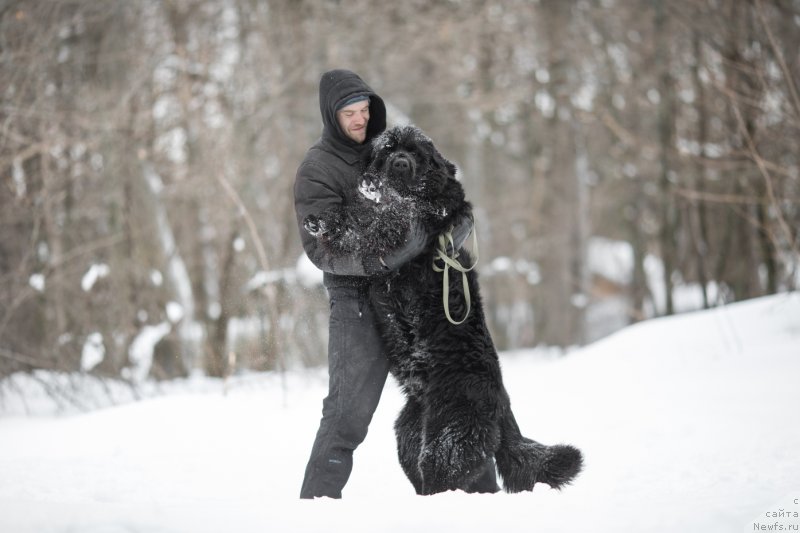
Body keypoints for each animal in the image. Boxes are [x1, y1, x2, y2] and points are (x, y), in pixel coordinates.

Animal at [304, 124, 584, 494]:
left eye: (417, 153)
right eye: (388, 149)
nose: (400, 163)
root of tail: (503, 404)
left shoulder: (408, 224)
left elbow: (372, 223)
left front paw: (339, 219)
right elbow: (361, 214)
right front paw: (325, 217)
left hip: (448, 440)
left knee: (447, 477)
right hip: (412, 435)